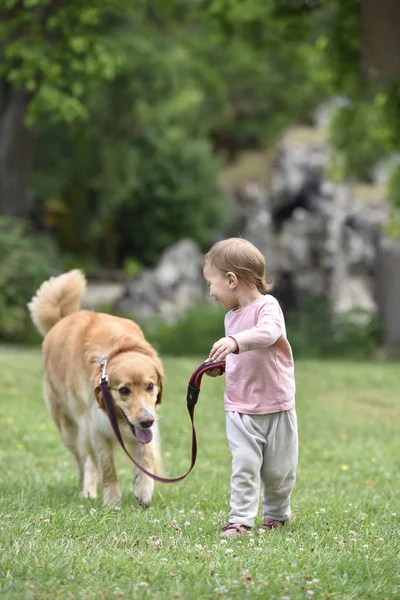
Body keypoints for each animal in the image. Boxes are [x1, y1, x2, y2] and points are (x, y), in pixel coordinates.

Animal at [27, 272, 164, 506]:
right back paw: (87, 489)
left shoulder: (148, 422)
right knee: (84, 461)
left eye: (150, 386)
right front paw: (112, 500)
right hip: (70, 427)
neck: (115, 351)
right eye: (124, 390)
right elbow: (107, 466)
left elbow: (147, 454)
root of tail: (62, 319)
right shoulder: (96, 426)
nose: (146, 420)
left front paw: (144, 489)